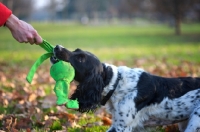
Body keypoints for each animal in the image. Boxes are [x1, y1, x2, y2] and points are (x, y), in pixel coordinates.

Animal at [50, 44, 200, 131]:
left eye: (80, 59)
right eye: (76, 50)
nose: (57, 47)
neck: (116, 83)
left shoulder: (122, 126)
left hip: (194, 122)